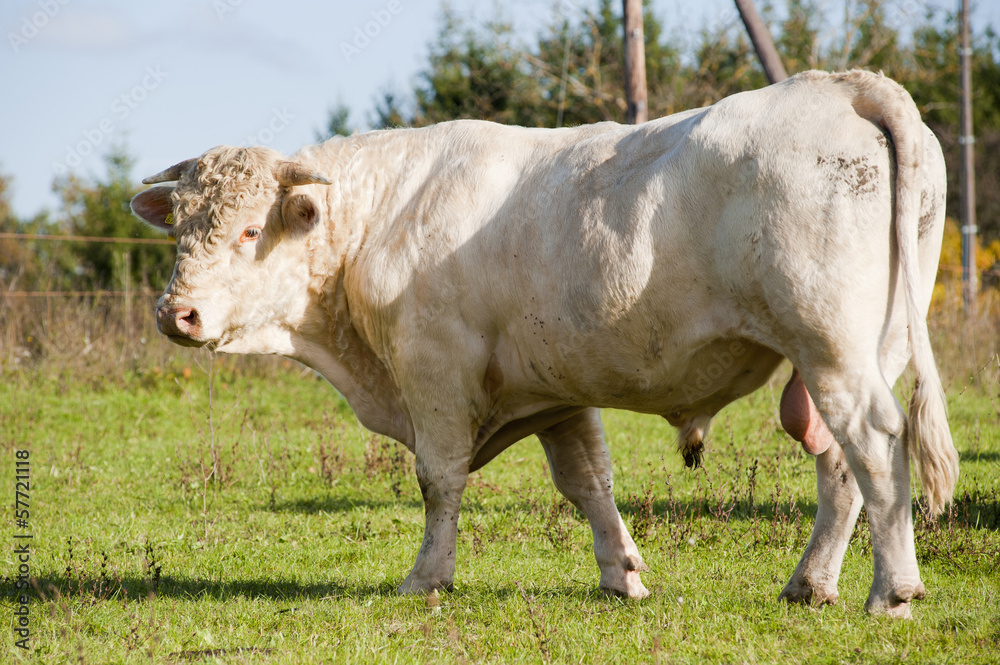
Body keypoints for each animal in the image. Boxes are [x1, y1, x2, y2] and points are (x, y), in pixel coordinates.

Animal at [131, 70, 958, 618]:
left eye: (249, 230)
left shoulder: (433, 368)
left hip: (831, 345)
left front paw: (426, 577)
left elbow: (439, 479)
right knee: (840, 464)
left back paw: (893, 590)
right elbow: (588, 482)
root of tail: (843, 86)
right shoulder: (557, 392)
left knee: (874, 444)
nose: (177, 313)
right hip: (859, 352)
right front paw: (622, 573)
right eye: (180, 230)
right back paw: (811, 583)